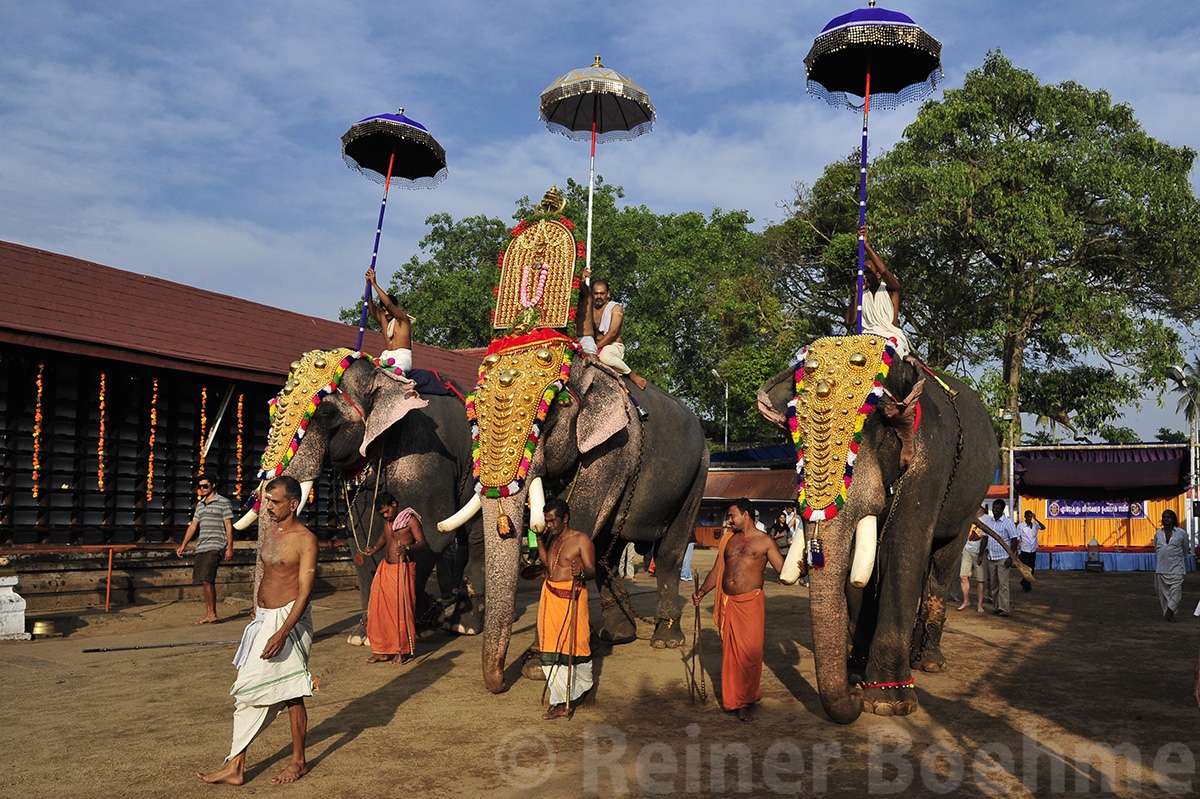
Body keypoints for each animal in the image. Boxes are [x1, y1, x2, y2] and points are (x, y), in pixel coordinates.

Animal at [234, 347, 482, 633]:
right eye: (271, 408)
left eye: (326, 413)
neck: (382, 375)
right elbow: (360, 538)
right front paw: (364, 634)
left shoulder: (427, 451)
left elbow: (431, 533)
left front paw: (416, 620)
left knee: (473, 535)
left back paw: (464, 626)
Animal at [439, 328, 700, 691]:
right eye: (473, 416)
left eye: (548, 419)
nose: (499, 684)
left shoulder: (614, 447)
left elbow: (579, 519)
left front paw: (538, 667)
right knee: (607, 552)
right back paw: (616, 635)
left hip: (698, 471)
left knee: (669, 552)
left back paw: (665, 638)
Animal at [758, 333, 1003, 719]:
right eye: (794, 437)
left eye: (878, 433)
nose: (854, 696)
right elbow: (859, 568)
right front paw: (857, 675)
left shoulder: (930, 461)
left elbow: (902, 547)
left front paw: (889, 703)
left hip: (969, 502)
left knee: (943, 560)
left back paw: (928, 662)